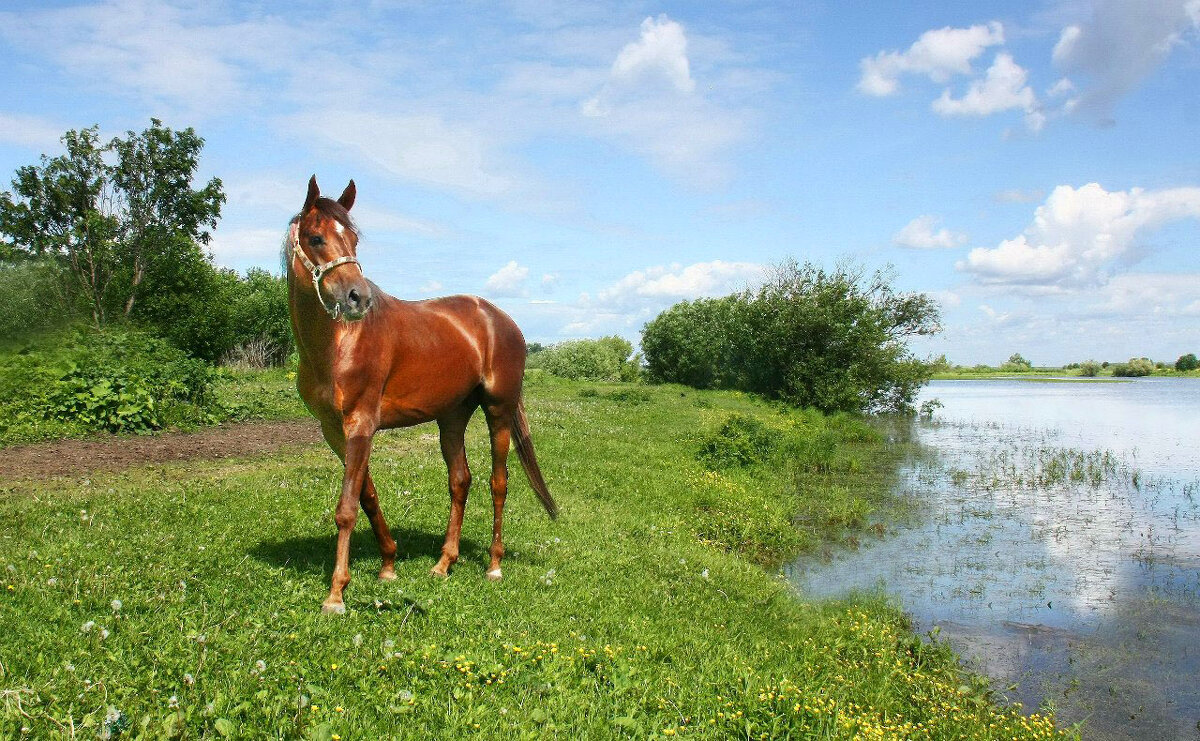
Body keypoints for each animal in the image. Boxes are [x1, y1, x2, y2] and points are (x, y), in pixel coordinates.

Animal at [284, 175, 556, 611]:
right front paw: (388, 565)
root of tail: (501, 319)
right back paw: (444, 563)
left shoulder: (361, 424)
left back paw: (494, 565)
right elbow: (367, 495)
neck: (336, 345)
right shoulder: (334, 431)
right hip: (452, 416)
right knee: (460, 480)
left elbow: (346, 507)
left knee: (498, 482)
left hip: (498, 412)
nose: (359, 298)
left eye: (354, 239)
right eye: (315, 238)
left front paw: (336, 593)